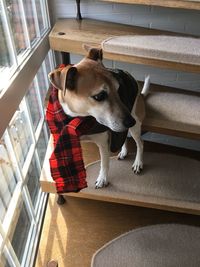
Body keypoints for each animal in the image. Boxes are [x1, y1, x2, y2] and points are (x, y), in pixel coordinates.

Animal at [47, 45, 149, 188]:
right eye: (100, 96)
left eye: (118, 89)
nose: (130, 121)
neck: (78, 119)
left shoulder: (103, 142)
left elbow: (104, 163)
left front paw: (102, 179)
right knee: (124, 137)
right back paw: (124, 151)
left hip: (135, 123)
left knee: (140, 143)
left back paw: (138, 162)